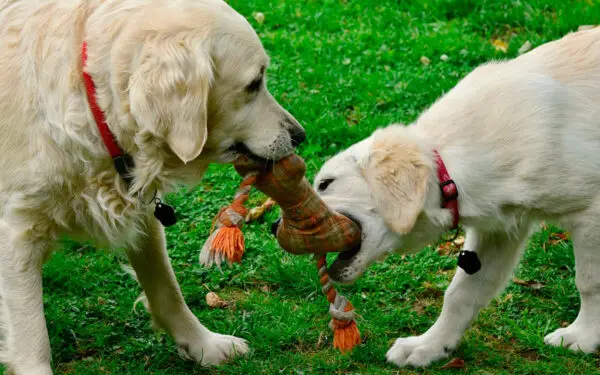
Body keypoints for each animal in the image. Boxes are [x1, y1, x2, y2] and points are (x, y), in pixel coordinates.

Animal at [0, 0, 304, 375]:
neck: (92, 102)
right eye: (254, 83)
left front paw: (205, 345)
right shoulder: (18, 234)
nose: (300, 135)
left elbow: (166, 290)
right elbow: (32, 335)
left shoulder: (142, 212)